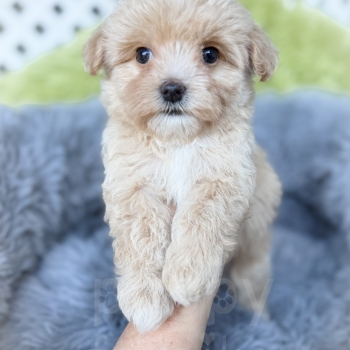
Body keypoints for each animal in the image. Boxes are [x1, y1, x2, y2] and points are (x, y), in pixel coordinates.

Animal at [84, 0, 282, 332]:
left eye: (210, 54)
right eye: (142, 54)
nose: (172, 89)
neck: (177, 141)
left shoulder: (228, 176)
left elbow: (204, 216)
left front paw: (188, 274)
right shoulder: (129, 184)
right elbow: (141, 231)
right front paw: (145, 297)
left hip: (254, 252)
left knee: (251, 283)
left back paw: (259, 320)